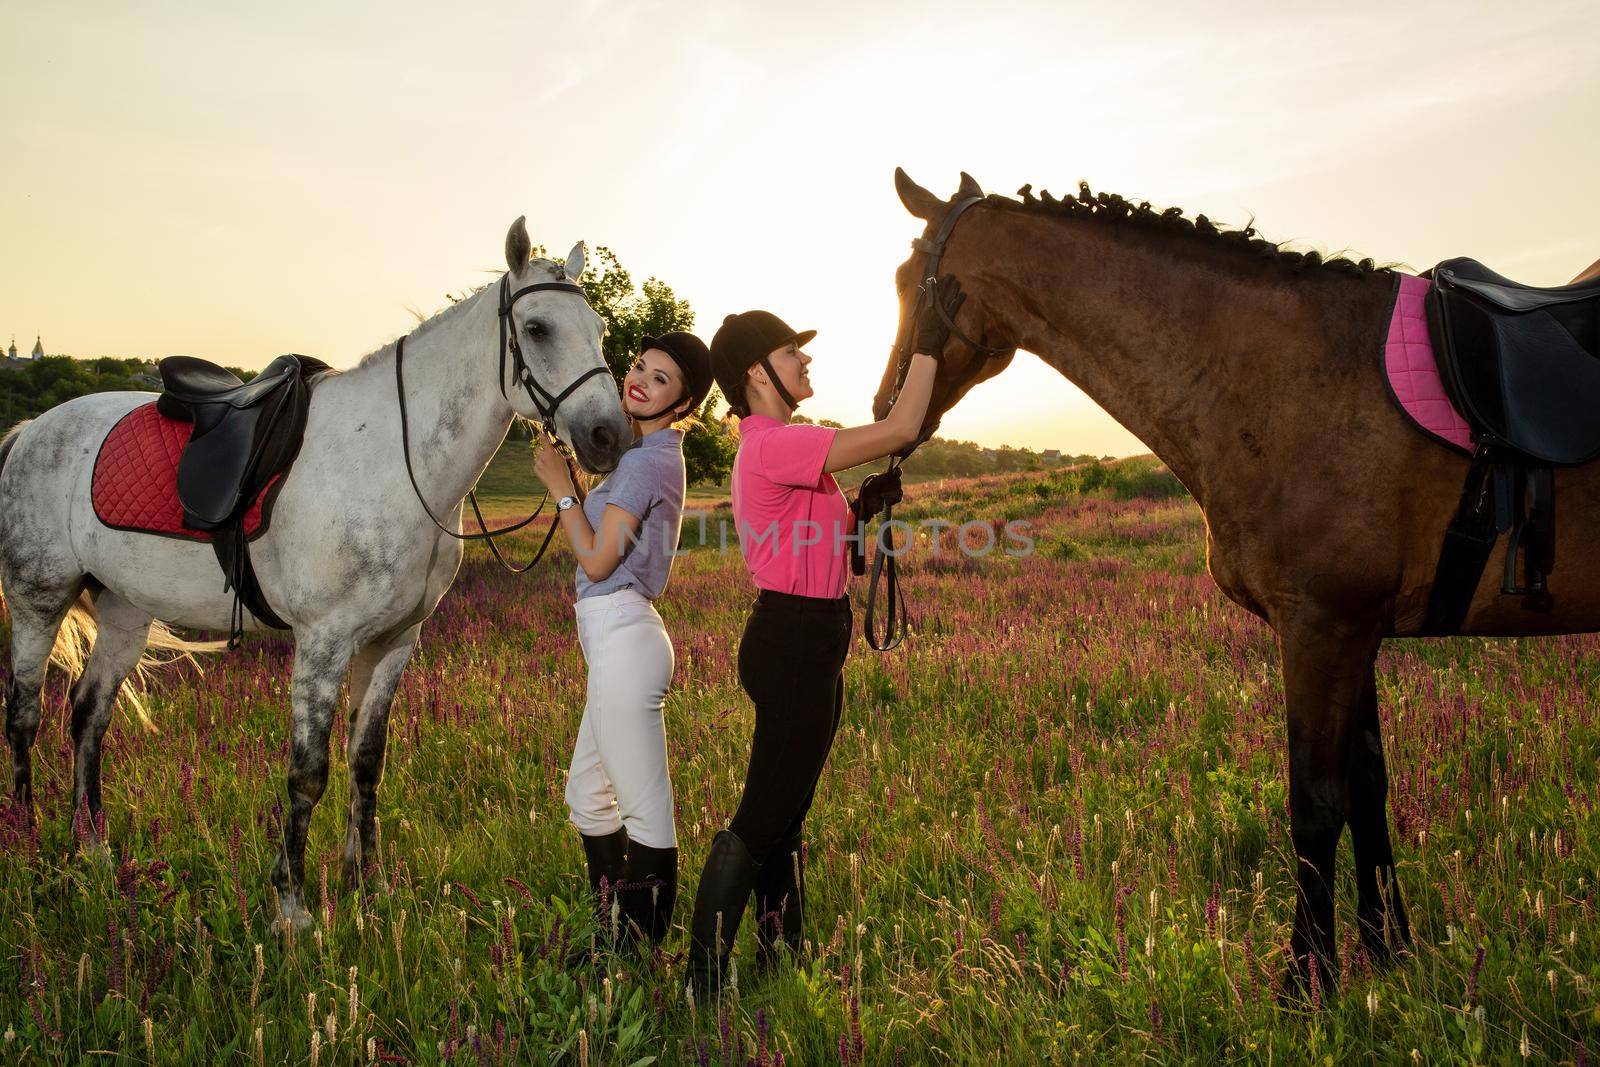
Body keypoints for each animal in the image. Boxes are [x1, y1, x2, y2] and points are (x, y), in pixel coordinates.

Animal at [1, 220, 630, 927]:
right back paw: (30, 847)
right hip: (37, 600)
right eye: (538, 328)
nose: (610, 436)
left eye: (597, 328)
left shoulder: (393, 643)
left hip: (124, 611)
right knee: (24, 714)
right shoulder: (324, 642)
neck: (395, 462)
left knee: (88, 714)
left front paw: (367, 885)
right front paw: (293, 907)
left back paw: (92, 849)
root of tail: (31, 430)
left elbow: (366, 762)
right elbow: (308, 773)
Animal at [883, 168, 1600, 991]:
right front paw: (1388, 952)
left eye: (908, 281)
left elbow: (1316, 803)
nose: (882, 408)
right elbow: (1368, 787)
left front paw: (1307, 982)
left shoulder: (1322, 626)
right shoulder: (1355, 631)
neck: (1283, 383)